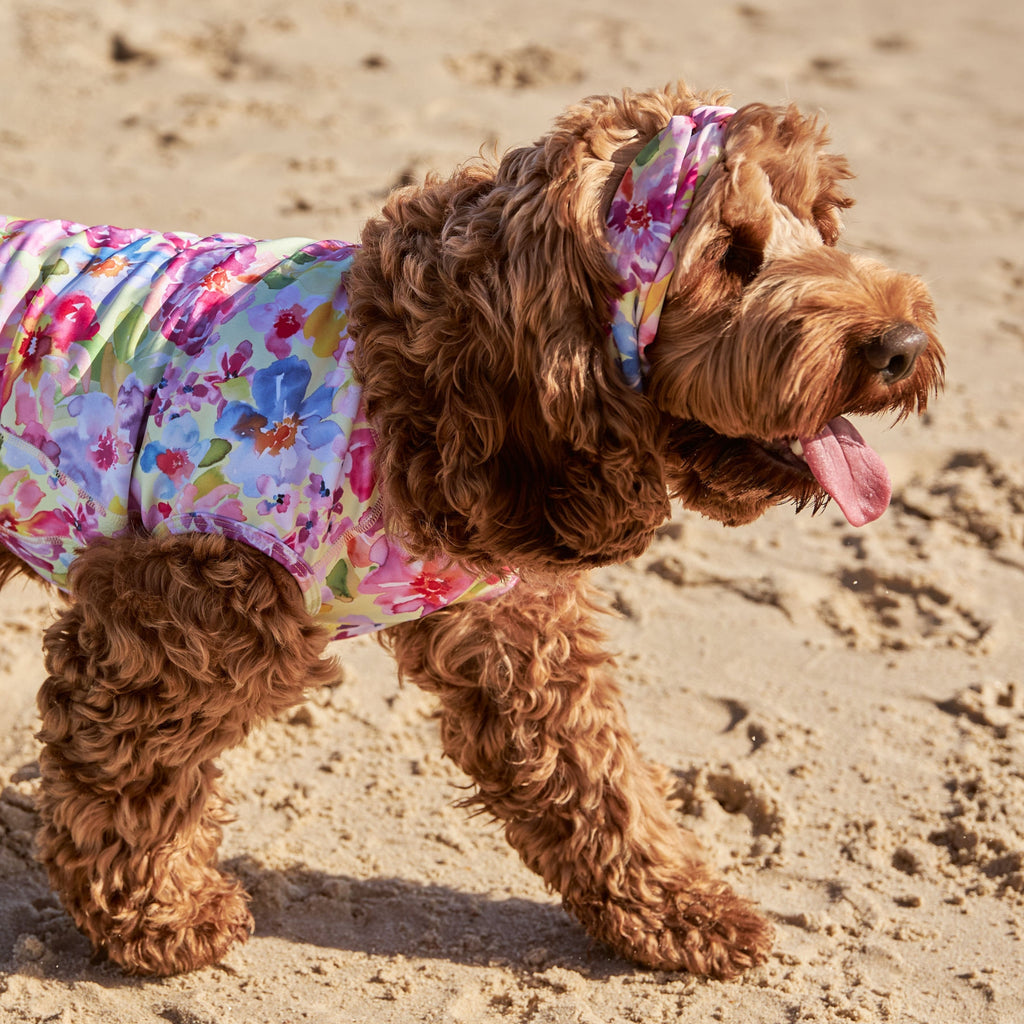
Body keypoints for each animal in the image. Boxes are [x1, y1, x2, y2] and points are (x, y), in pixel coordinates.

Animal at [0, 83, 942, 978]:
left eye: (823, 221)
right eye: (729, 256)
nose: (901, 345)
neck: (418, 380)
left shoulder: (510, 627)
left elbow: (592, 776)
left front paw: (680, 912)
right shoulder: (164, 625)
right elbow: (127, 781)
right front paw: (160, 921)